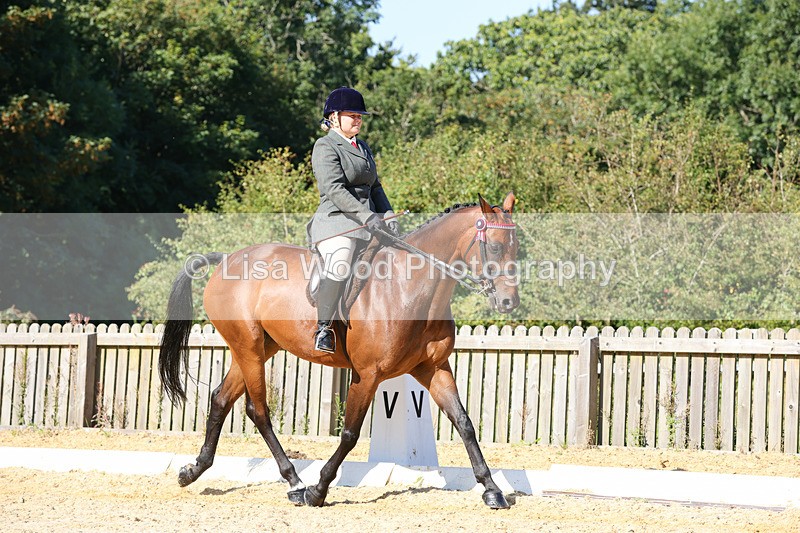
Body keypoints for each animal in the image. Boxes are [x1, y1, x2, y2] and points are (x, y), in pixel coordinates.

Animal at [158, 192, 520, 509]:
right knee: (258, 411)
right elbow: (349, 434)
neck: (411, 289)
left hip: (257, 348)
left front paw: (492, 490)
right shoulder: (367, 374)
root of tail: (226, 259)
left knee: (221, 398)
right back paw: (295, 483)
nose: (508, 302)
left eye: (516, 246)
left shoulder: (435, 368)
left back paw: (193, 471)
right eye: (495, 246)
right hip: (248, 349)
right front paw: (318, 490)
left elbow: (465, 423)